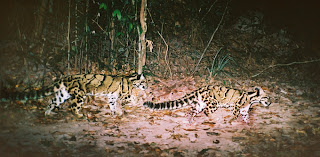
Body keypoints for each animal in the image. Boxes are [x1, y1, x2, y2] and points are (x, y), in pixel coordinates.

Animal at [2, 73, 148, 118]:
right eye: (145, 82)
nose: (147, 86)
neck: (131, 80)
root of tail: (65, 77)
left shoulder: (111, 97)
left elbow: (112, 105)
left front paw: (114, 113)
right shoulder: (124, 94)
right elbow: (132, 98)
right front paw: (137, 102)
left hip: (62, 94)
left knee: (52, 101)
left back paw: (48, 113)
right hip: (79, 95)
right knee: (73, 108)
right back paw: (79, 115)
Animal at [144, 85, 272, 123]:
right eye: (267, 97)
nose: (270, 102)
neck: (251, 97)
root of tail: (199, 89)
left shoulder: (244, 110)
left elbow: (246, 116)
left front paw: (248, 124)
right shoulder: (236, 106)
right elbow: (235, 115)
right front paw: (231, 120)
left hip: (199, 104)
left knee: (192, 111)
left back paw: (190, 120)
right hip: (213, 103)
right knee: (207, 111)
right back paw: (212, 118)